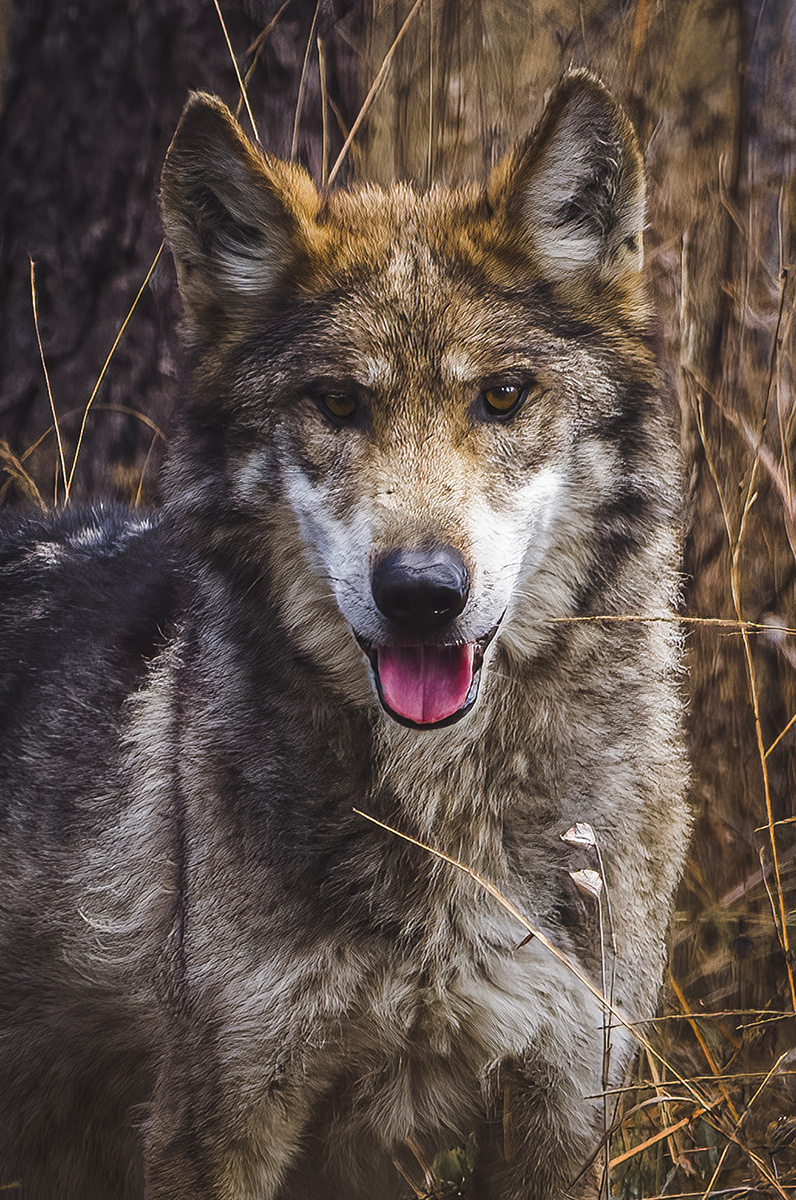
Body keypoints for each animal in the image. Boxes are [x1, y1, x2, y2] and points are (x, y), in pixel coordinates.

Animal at [0, 75, 686, 1200]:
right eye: (336, 402)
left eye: (502, 395)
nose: (421, 594)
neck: (446, 818)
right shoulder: (216, 1122)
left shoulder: (565, 1114)